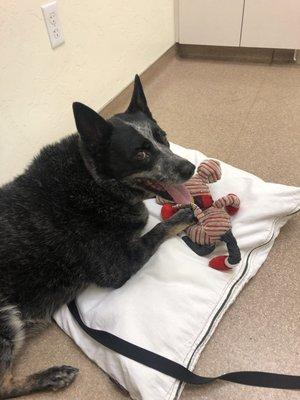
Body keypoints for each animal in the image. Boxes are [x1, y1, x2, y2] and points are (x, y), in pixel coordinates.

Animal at [0, 74, 196, 396]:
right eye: (140, 153)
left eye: (163, 137)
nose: (189, 167)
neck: (95, 180)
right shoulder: (116, 268)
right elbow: (156, 230)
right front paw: (181, 216)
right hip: (6, 318)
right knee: (4, 385)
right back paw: (52, 376)